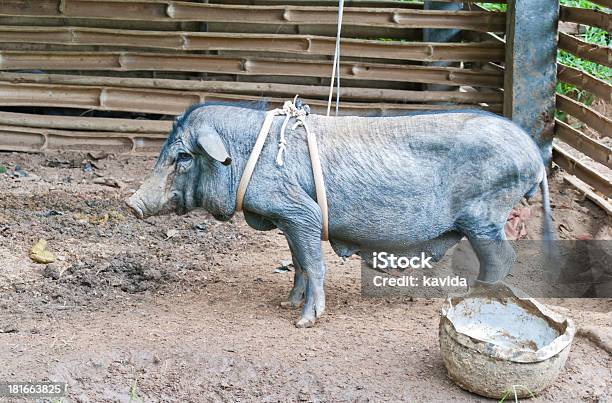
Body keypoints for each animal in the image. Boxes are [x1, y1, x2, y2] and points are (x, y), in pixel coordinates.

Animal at [126, 104, 552, 328]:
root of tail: (534, 155)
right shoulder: (289, 220)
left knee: (503, 258)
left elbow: (315, 264)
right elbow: (298, 262)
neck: (248, 155)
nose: (131, 204)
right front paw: (287, 304)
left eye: (183, 156)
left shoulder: (301, 212)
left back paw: (471, 296)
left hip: (485, 215)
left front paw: (304, 322)